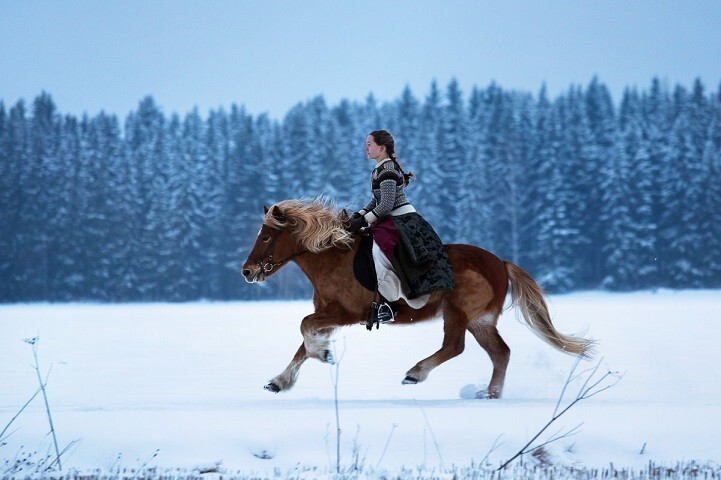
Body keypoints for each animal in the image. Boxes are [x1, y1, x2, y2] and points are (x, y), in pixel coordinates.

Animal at [242, 198, 592, 398]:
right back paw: (490, 395)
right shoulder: (328, 313)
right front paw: (281, 380)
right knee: (500, 353)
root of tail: (501, 263)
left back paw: (416, 373)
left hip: (458, 312)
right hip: (480, 319)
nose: (247, 271)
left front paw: (323, 354)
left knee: (455, 346)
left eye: (267, 236)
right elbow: (304, 340)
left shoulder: (347, 313)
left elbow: (304, 327)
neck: (332, 258)